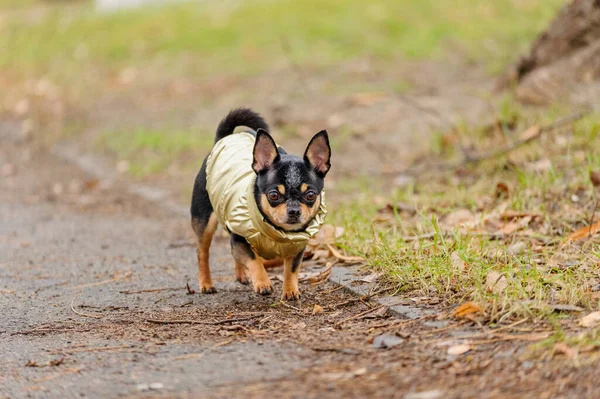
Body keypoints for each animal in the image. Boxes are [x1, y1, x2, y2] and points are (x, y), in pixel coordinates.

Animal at [191, 108, 330, 302]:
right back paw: (206, 284)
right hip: (205, 222)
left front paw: (290, 290)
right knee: (202, 251)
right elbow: (254, 259)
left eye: (310, 195)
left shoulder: (297, 247)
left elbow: (291, 269)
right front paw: (263, 282)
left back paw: (241, 275)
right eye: (274, 195)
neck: (279, 233)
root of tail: (225, 138)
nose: (294, 211)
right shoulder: (240, 238)